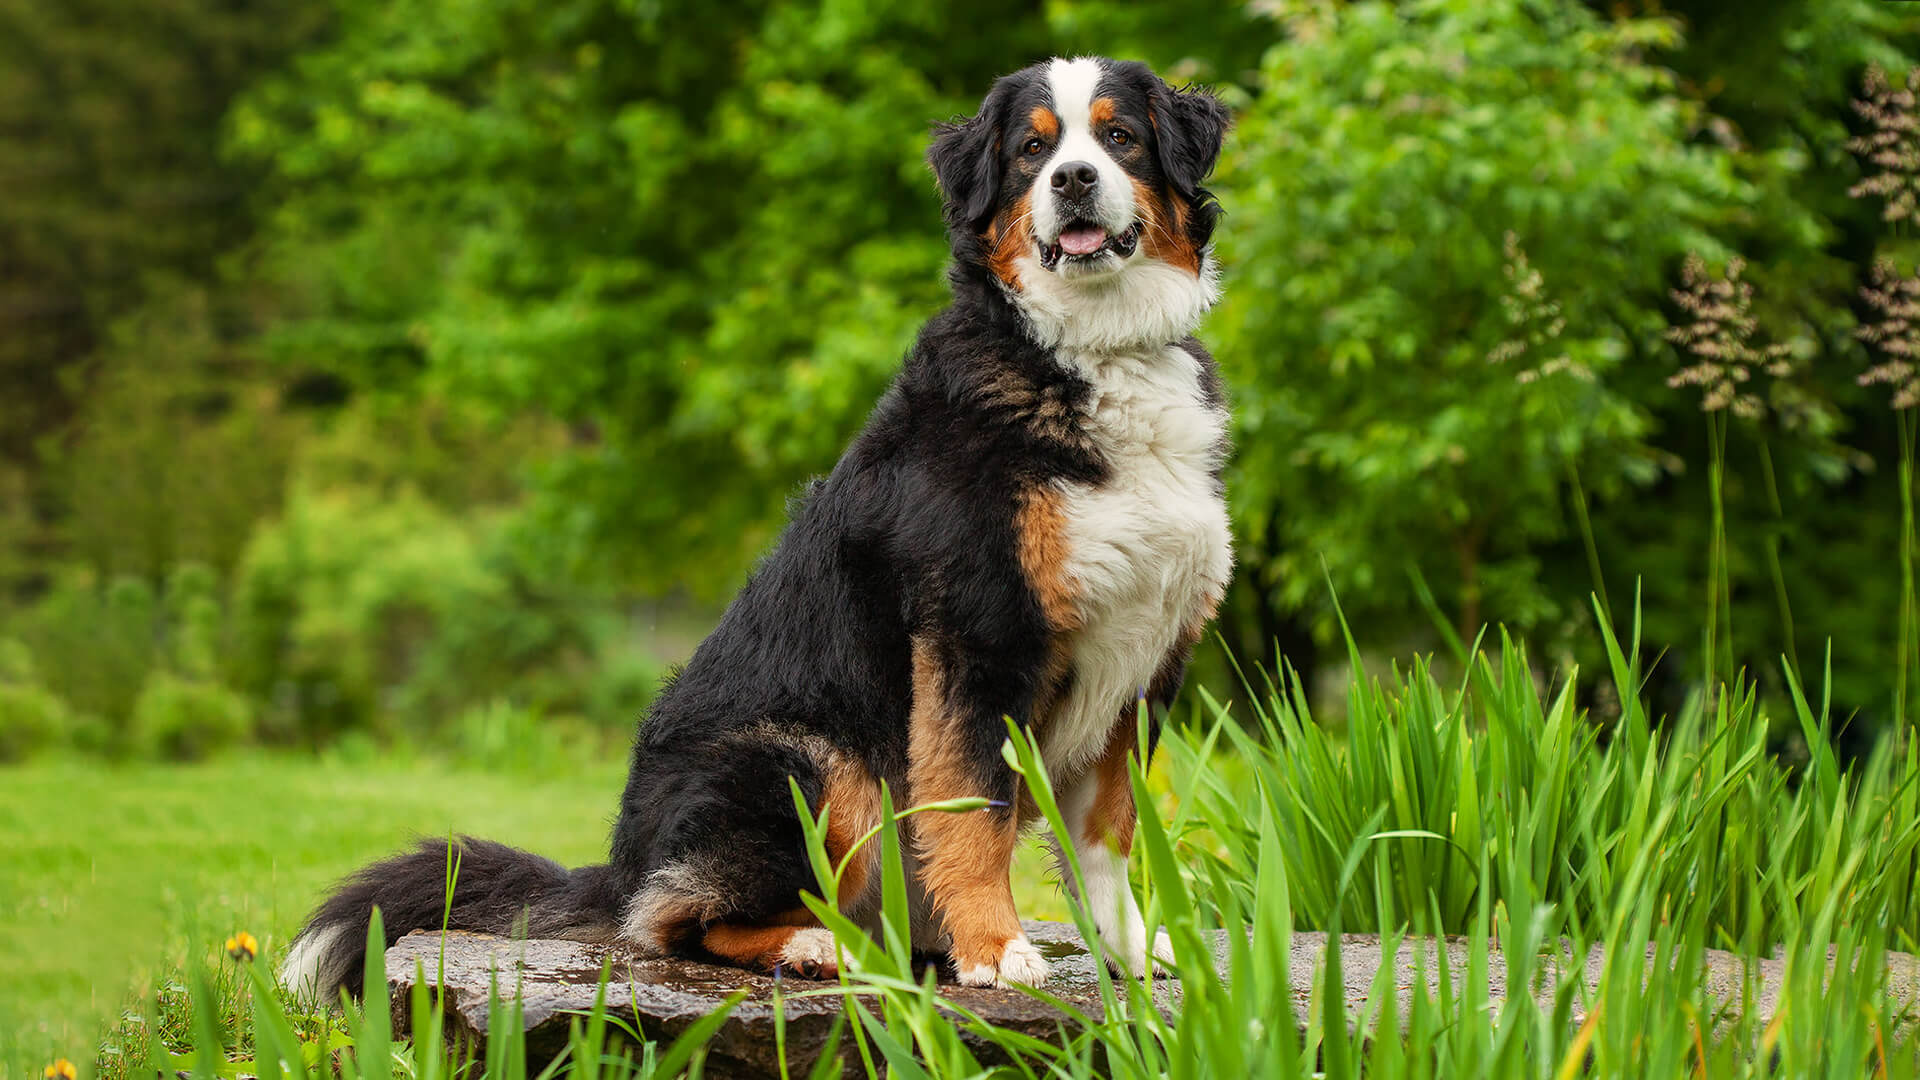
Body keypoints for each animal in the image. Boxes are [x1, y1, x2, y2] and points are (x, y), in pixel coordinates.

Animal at [280, 52, 1228, 991]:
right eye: (1033, 151)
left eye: (1118, 137)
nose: (1073, 180)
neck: (1094, 352)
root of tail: (616, 866)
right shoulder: (978, 632)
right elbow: (973, 810)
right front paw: (999, 952)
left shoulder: (1143, 658)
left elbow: (1109, 833)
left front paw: (1134, 953)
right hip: (811, 761)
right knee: (677, 920)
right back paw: (821, 947)